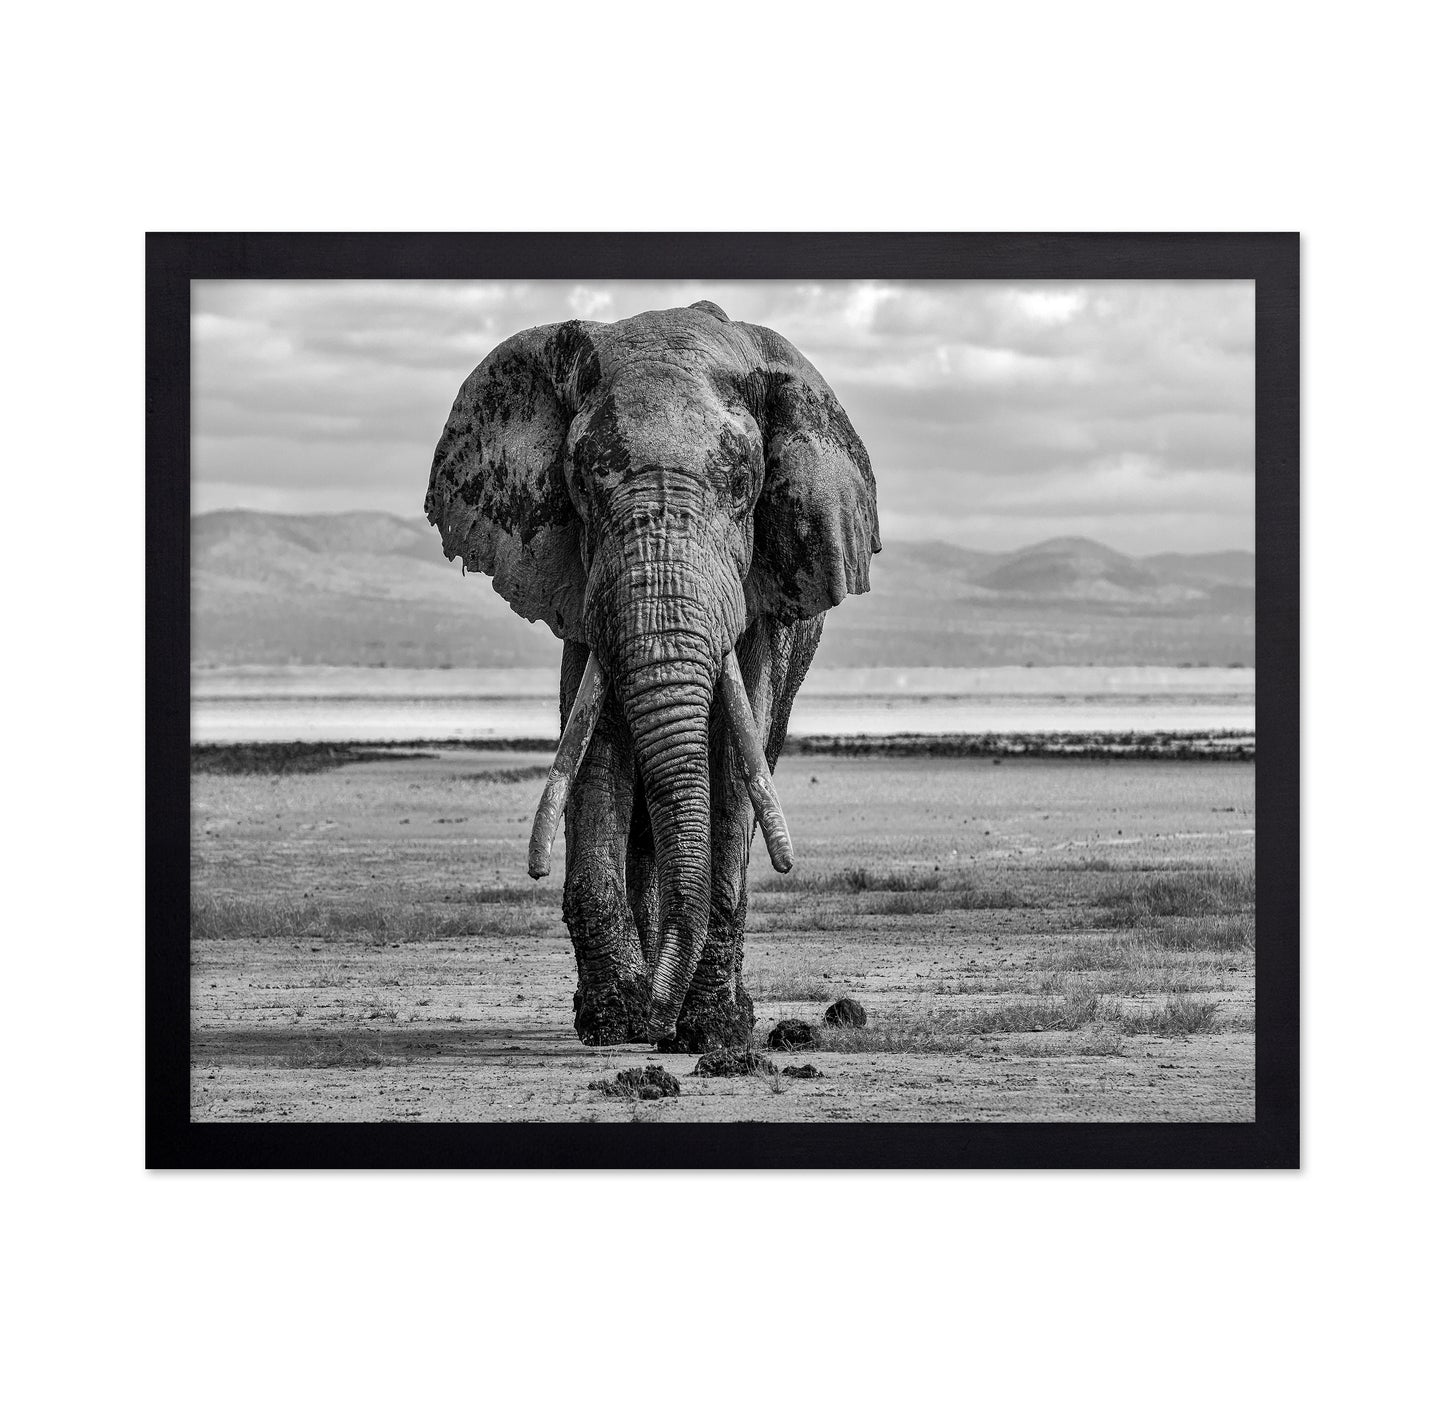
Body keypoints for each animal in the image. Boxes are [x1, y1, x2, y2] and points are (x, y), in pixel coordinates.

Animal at [424, 300, 879, 1051]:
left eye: (743, 485)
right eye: (581, 481)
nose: (653, 1018)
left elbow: (733, 758)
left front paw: (711, 1032)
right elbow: (597, 748)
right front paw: (613, 1021)